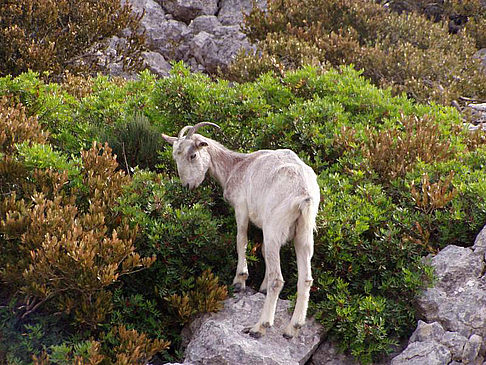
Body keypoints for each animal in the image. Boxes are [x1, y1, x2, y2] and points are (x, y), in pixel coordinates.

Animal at [163, 122, 320, 338]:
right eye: (175, 157)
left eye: (193, 155)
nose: (187, 185)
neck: (236, 166)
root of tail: (304, 195)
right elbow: (261, 250)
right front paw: (261, 287)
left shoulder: (241, 208)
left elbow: (241, 240)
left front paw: (240, 280)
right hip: (303, 233)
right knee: (305, 279)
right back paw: (292, 328)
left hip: (274, 226)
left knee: (278, 280)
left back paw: (259, 327)